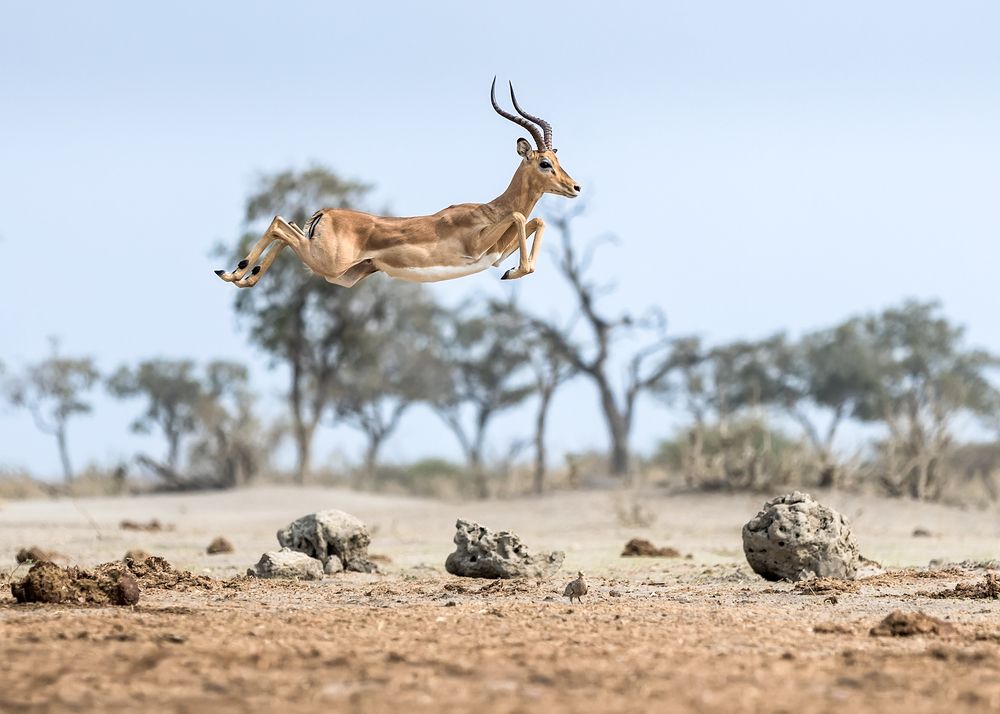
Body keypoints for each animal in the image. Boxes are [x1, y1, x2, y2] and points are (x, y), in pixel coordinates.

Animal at [215, 79, 580, 288]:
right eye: (545, 163)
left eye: (557, 159)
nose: (575, 187)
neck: (490, 210)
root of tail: (325, 214)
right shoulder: (477, 247)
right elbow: (522, 216)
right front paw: (516, 272)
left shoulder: (497, 253)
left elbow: (537, 220)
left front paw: (514, 272)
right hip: (327, 262)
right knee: (279, 222)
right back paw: (234, 273)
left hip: (341, 275)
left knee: (286, 226)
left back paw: (243, 276)